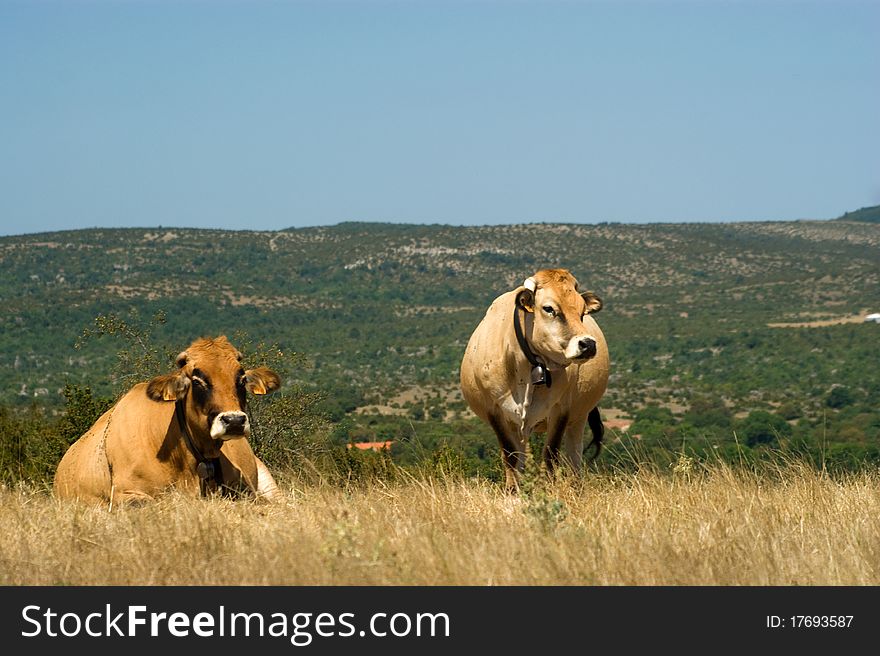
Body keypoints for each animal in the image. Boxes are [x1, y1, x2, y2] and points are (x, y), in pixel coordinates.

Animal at [460, 270, 612, 490]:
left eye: (582, 311)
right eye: (549, 308)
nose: (588, 344)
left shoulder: (562, 409)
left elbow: (550, 453)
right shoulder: (494, 410)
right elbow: (510, 455)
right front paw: (512, 491)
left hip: (579, 417)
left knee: (574, 456)